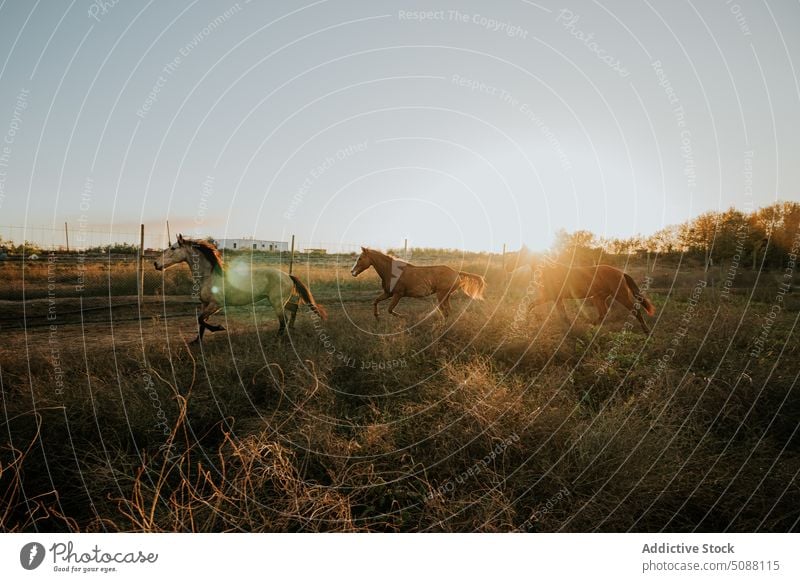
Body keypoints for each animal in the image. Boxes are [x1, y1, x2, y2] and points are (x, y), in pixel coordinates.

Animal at [153, 236, 328, 344]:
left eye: (173, 248)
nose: (156, 264)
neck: (209, 276)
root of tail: (288, 276)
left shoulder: (216, 305)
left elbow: (201, 320)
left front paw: (219, 328)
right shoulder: (205, 304)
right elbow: (201, 322)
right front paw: (196, 342)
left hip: (277, 302)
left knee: (282, 320)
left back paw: (277, 338)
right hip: (279, 301)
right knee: (294, 308)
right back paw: (292, 328)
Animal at [352, 246, 488, 320]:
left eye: (360, 258)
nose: (352, 272)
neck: (391, 271)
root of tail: (456, 272)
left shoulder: (398, 294)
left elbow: (390, 310)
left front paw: (405, 317)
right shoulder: (388, 293)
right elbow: (375, 301)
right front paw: (376, 316)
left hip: (441, 294)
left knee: (445, 311)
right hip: (446, 295)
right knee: (447, 311)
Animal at [506, 245, 656, 334]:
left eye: (516, 255)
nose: (508, 268)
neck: (549, 270)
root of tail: (621, 273)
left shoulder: (551, 297)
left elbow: (531, 305)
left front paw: (525, 322)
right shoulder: (556, 299)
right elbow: (561, 313)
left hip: (621, 295)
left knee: (635, 311)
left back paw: (647, 331)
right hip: (598, 297)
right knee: (603, 313)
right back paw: (592, 326)